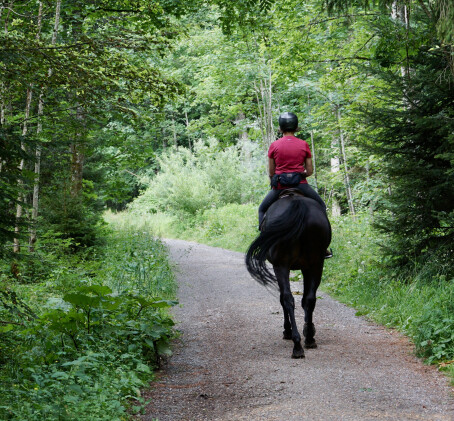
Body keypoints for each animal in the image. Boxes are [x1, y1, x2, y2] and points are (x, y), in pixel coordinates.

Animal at [247, 190, 332, 358]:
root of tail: (297, 204)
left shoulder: (279, 266)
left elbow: (282, 298)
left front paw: (287, 330)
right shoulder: (307, 267)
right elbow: (306, 299)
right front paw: (307, 330)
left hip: (282, 265)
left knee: (287, 299)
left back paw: (296, 343)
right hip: (316, 264)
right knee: (309, 299)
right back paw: (309, 338)